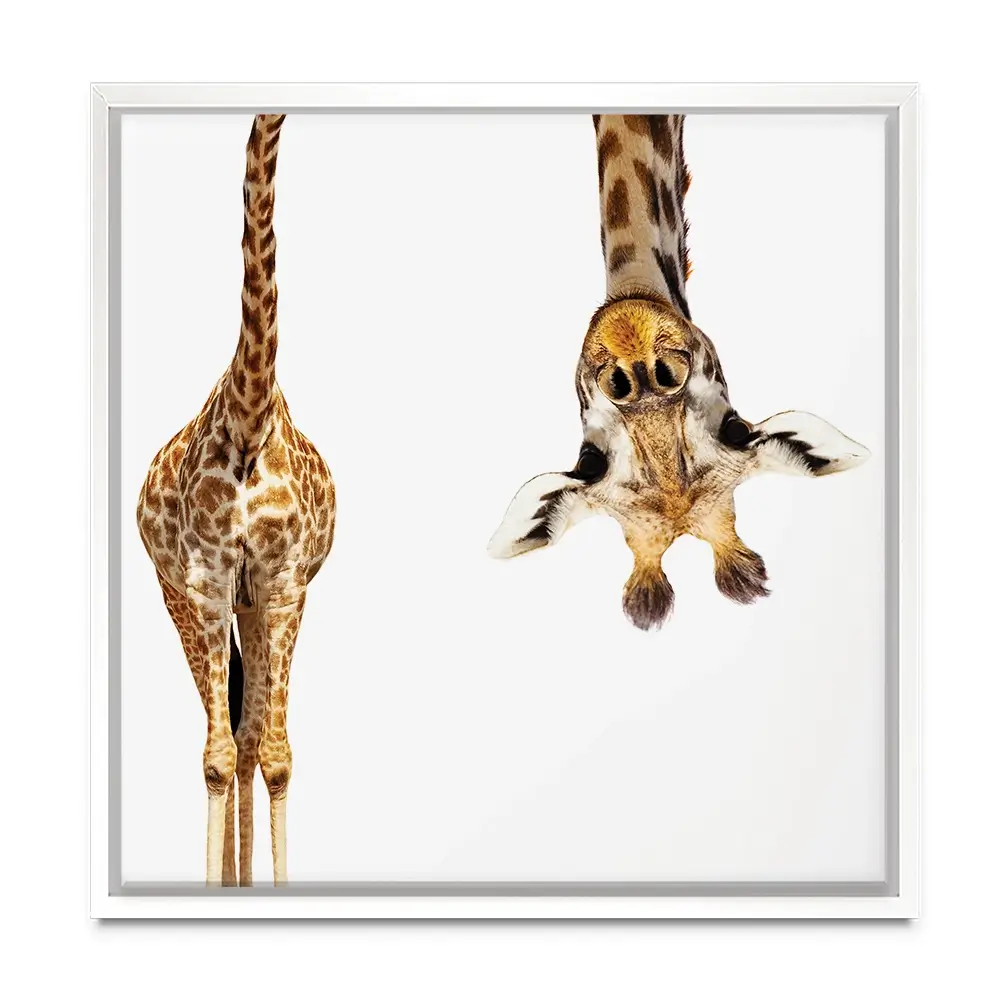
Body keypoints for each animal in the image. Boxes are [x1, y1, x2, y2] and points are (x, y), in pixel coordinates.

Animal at [136, 114, 336, 885]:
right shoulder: (205, 581)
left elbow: (272, 755)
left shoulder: (281, 583)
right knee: (222, 735)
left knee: (250, 737)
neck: (249, 418)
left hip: (258, 605)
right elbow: (217, 759)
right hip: (183, 599)